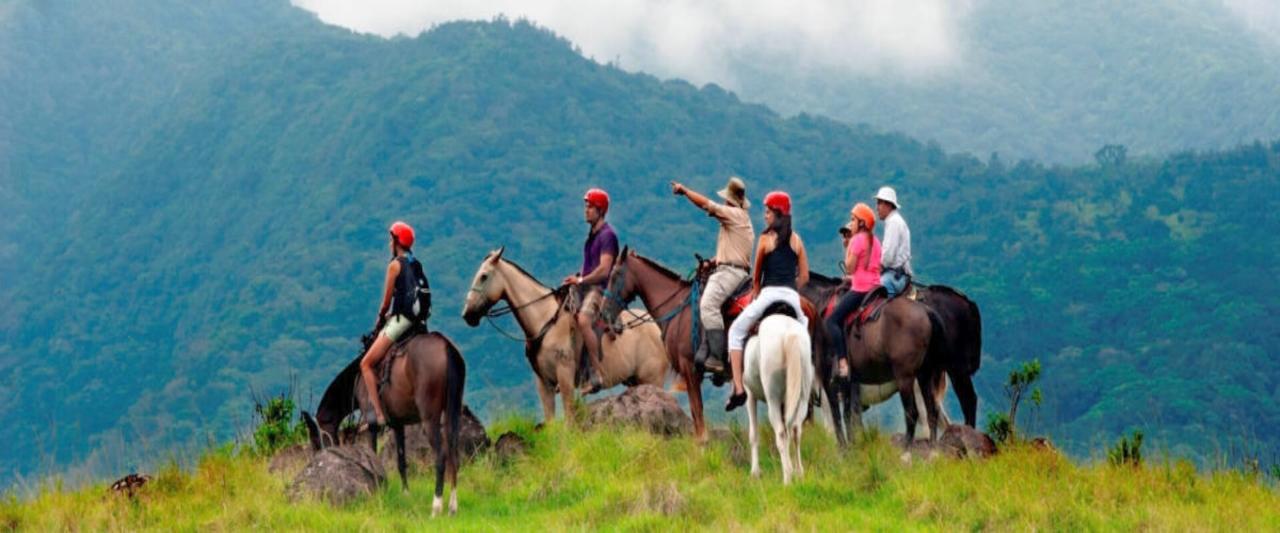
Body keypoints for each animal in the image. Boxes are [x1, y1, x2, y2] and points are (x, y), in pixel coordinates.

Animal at [302, 333, 468, 517]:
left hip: (430, 419)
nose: (317, 457)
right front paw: (406, 494)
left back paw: (436, 507)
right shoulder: (398, 424)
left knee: (440, 457)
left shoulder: (372, 426)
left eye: (315, 440)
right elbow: (401, 461)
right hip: (454, 412)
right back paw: (452, 507)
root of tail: (446, 346)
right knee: (454, 456)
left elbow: (373, 457)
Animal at [465, 247, 675, 425]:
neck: (545, 320)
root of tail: (658, 327)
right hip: (635, 380)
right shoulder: (544, 383)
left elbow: (569, 418)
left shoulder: (565, 376)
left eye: (484, 276)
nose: (467, 315)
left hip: (652, 378)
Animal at [747, 313, 814, 484]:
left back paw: (787, 478)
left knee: (781, 433)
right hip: (802, 397)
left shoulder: (750, 395)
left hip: (773, 400)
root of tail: (789, 334)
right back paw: (799, 473)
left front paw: (755, 472)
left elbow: (753, 434)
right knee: (796, 430)